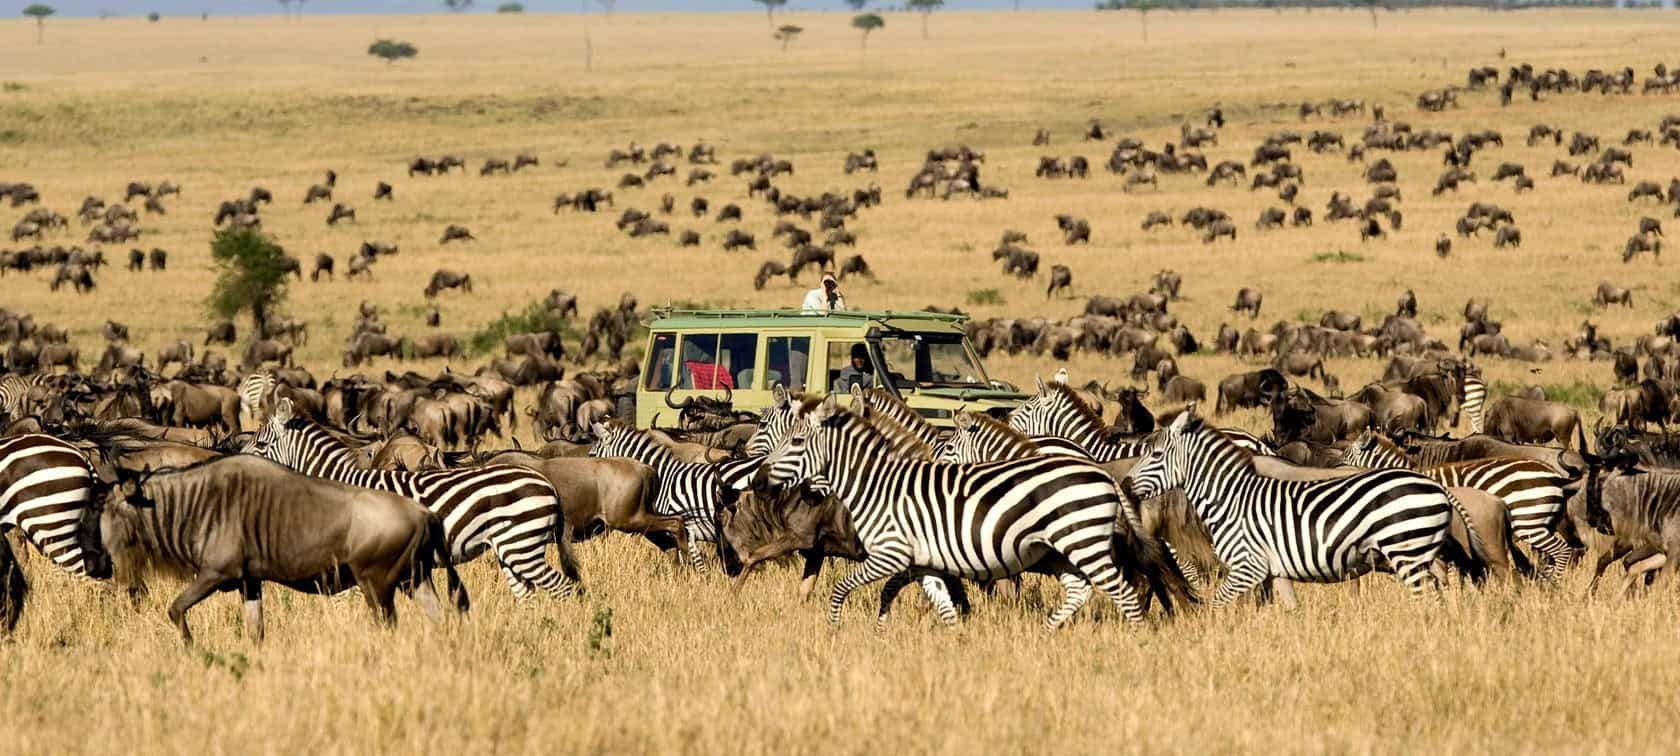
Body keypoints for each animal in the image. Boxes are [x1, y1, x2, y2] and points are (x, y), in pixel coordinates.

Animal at [246, 399, 580, 601]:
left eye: (261, 444)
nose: (239, 462)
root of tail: (546, 483)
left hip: (522, 545)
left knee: (565, 589)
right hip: (511, 549)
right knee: (529, 596)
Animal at [765, 393, 1169, 631]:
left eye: (796, 441)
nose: (762, 478)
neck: (877, 484)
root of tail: (1101, 471)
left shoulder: (890, 554)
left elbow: (841, 588)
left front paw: (834, 630)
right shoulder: (922, 561)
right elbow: (938, 603)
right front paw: (954, 640)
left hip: (1082, 541)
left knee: (1124, 592)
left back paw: (1137, 639)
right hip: (1060, 549)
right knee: (1079, 590)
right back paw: (1046, 633)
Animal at [1123, 407, 1472, 607]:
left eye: (1155, 454)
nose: (1124, 483)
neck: (1231, 497)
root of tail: (1436, 486)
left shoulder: (1247, 566)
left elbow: (1218, 603)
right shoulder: (1274, 569)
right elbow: (1289, 608)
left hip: (1406, 551)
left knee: (1428, 596)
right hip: (1420, 552)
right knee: (1440, 588)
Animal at [1340, 431, 1573, 580]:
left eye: (1345, 455)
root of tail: (1555, 476)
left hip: (1529, 521)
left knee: (1563, 551)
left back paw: (1556, 584)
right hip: (1545, 522)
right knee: (1550, 558)